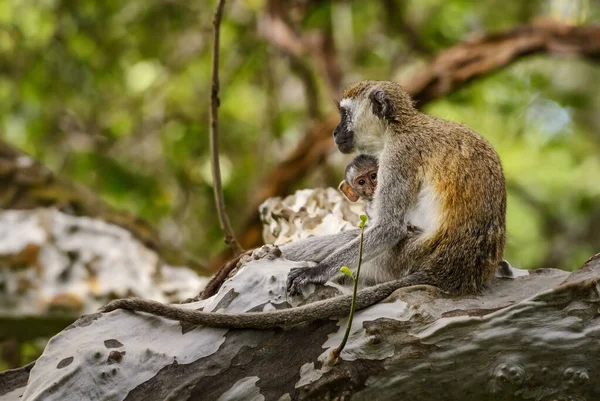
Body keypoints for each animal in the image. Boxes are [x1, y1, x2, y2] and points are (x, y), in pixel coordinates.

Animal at [102, 81, 506, 328]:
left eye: (344, 115)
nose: (335, 131)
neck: (400, 125)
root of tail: (457, 271)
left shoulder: (400, 155)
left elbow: (389, 226)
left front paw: (315, 272)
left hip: (401, 258)